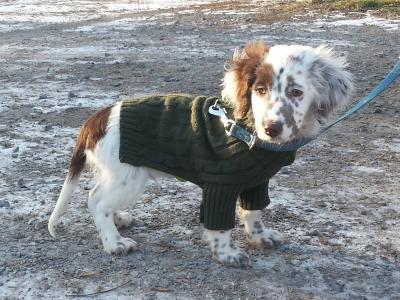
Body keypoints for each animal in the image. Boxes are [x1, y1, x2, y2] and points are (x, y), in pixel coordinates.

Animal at [48, 41, 352, 268]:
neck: (247, 129)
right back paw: (114, 243)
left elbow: (253, 212)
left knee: (99, 196)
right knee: (96, 201)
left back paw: (119, 219)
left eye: (296, 92)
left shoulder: (256, 183)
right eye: (260, 90)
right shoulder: (220, 185)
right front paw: (226, 254)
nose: (271, 128)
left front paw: (260, 237)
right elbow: (220, 225)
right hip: (128, 177)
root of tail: (99, 115)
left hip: (118, 173)